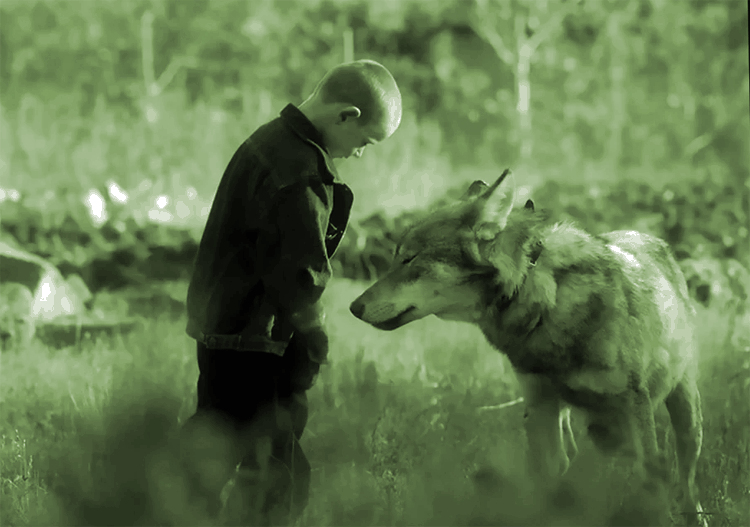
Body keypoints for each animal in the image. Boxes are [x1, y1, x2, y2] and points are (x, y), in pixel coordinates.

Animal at [350, 169, 707, 526]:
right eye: (396, 258)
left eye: (409, 259)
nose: (354, 307)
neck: (543, 305)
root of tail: (653, 239)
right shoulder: (539, 406)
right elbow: (546, 484)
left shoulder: (635, 408)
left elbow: (653, 491)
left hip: (684, 416)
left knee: (687, 483)